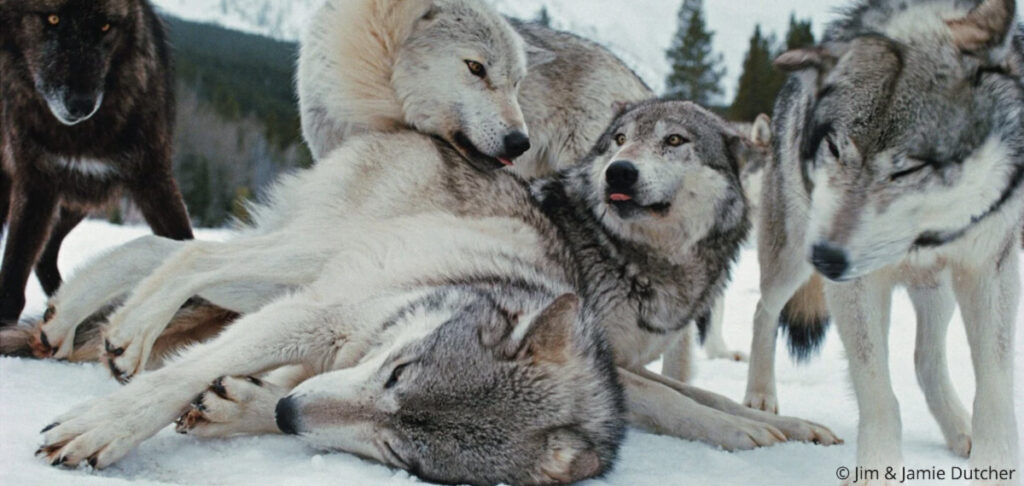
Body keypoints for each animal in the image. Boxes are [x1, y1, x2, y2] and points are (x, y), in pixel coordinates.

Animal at [0, 0, 193, 325]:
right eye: (53, 19)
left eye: (105, 26)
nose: (80, 105)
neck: (82, 136)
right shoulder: (35, 184)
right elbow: (13, 278)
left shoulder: (153, 178)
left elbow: (182, 241)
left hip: (80, 201)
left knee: (46, 254)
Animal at [34, 101, 839, 484]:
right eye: (619, 143)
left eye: (675, 143)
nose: (621, 174)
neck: (635, 257)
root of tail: (414, 129)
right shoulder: (321, 315)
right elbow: (685, 406)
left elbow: (702, 393)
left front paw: (795, 428)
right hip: (305, 263)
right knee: (189, 259)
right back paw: (125, 333)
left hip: (290, 264)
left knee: (162, 250)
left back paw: (79, 320)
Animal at [742, 0, 1023, 479]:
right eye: (835, 148)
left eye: (908, 167)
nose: (825, 258)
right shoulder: (855, 284)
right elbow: (878, 394)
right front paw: (878, 472)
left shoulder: (991, 267)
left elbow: (995, 389)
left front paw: (995, 465)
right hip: (788, 262)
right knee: (764, 311)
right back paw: (760, 396)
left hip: (939, 289)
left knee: (925, 360)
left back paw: (958, 429)